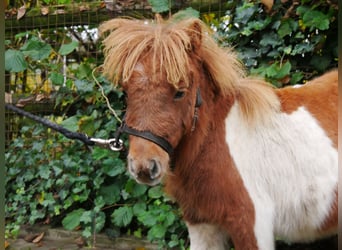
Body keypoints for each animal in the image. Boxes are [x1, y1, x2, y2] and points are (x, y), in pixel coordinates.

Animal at [98, 16, 336, 249]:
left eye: (180, 92)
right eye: (126, 92)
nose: (144, 167)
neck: (215, 144)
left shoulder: (251, 225)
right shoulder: (202, 224)